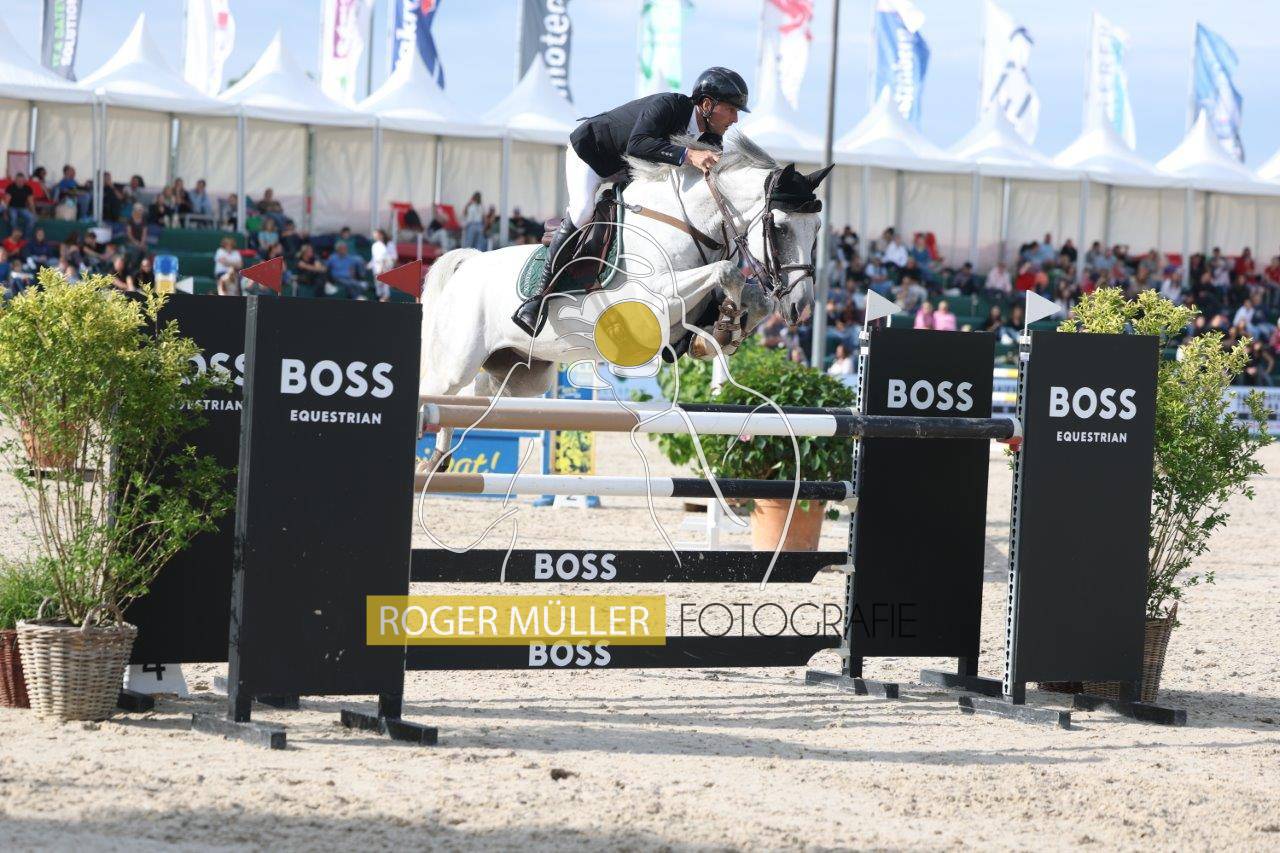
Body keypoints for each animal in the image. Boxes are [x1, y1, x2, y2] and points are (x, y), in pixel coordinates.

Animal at [419, 132, 833, 464]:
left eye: (817, 228)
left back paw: (440, 458)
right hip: (457, 363)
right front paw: (729, 321)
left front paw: (725, 329)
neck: (684, 224)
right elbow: (727, 272)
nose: (801, 307)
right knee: (436, 394)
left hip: (520, 373)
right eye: (780, 227)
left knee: (470, 399)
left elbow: (751, 296)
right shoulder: (653, 301)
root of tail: (468, 264)